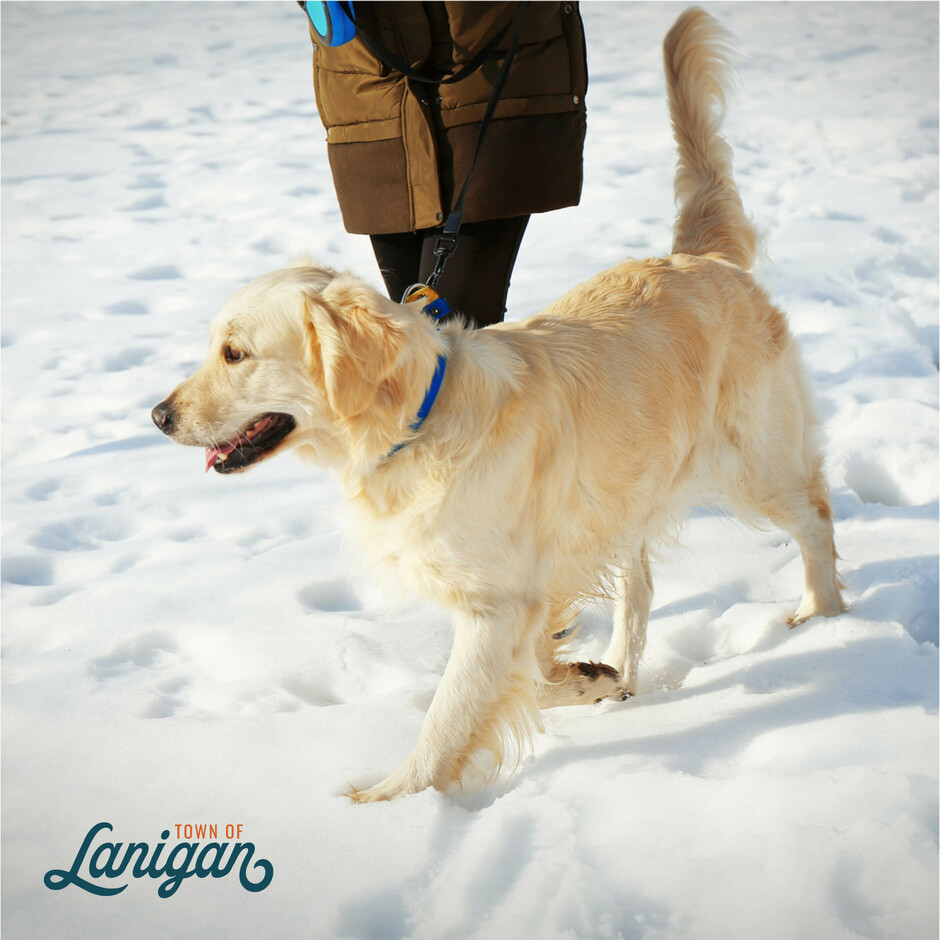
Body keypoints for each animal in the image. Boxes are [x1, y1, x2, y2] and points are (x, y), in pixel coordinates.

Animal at [152, 9, 844, 800]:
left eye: (235, 353)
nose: (158, 416)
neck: (420, 425)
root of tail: (704, 258)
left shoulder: (498, 603)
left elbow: (449, 717)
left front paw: (388, 803)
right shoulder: (532, 581)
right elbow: (532, 672)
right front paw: (588, 678)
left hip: (754, 462)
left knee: (816, 516)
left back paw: (826, 618)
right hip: (627, 495)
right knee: (640, 590)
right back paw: (626, 671)